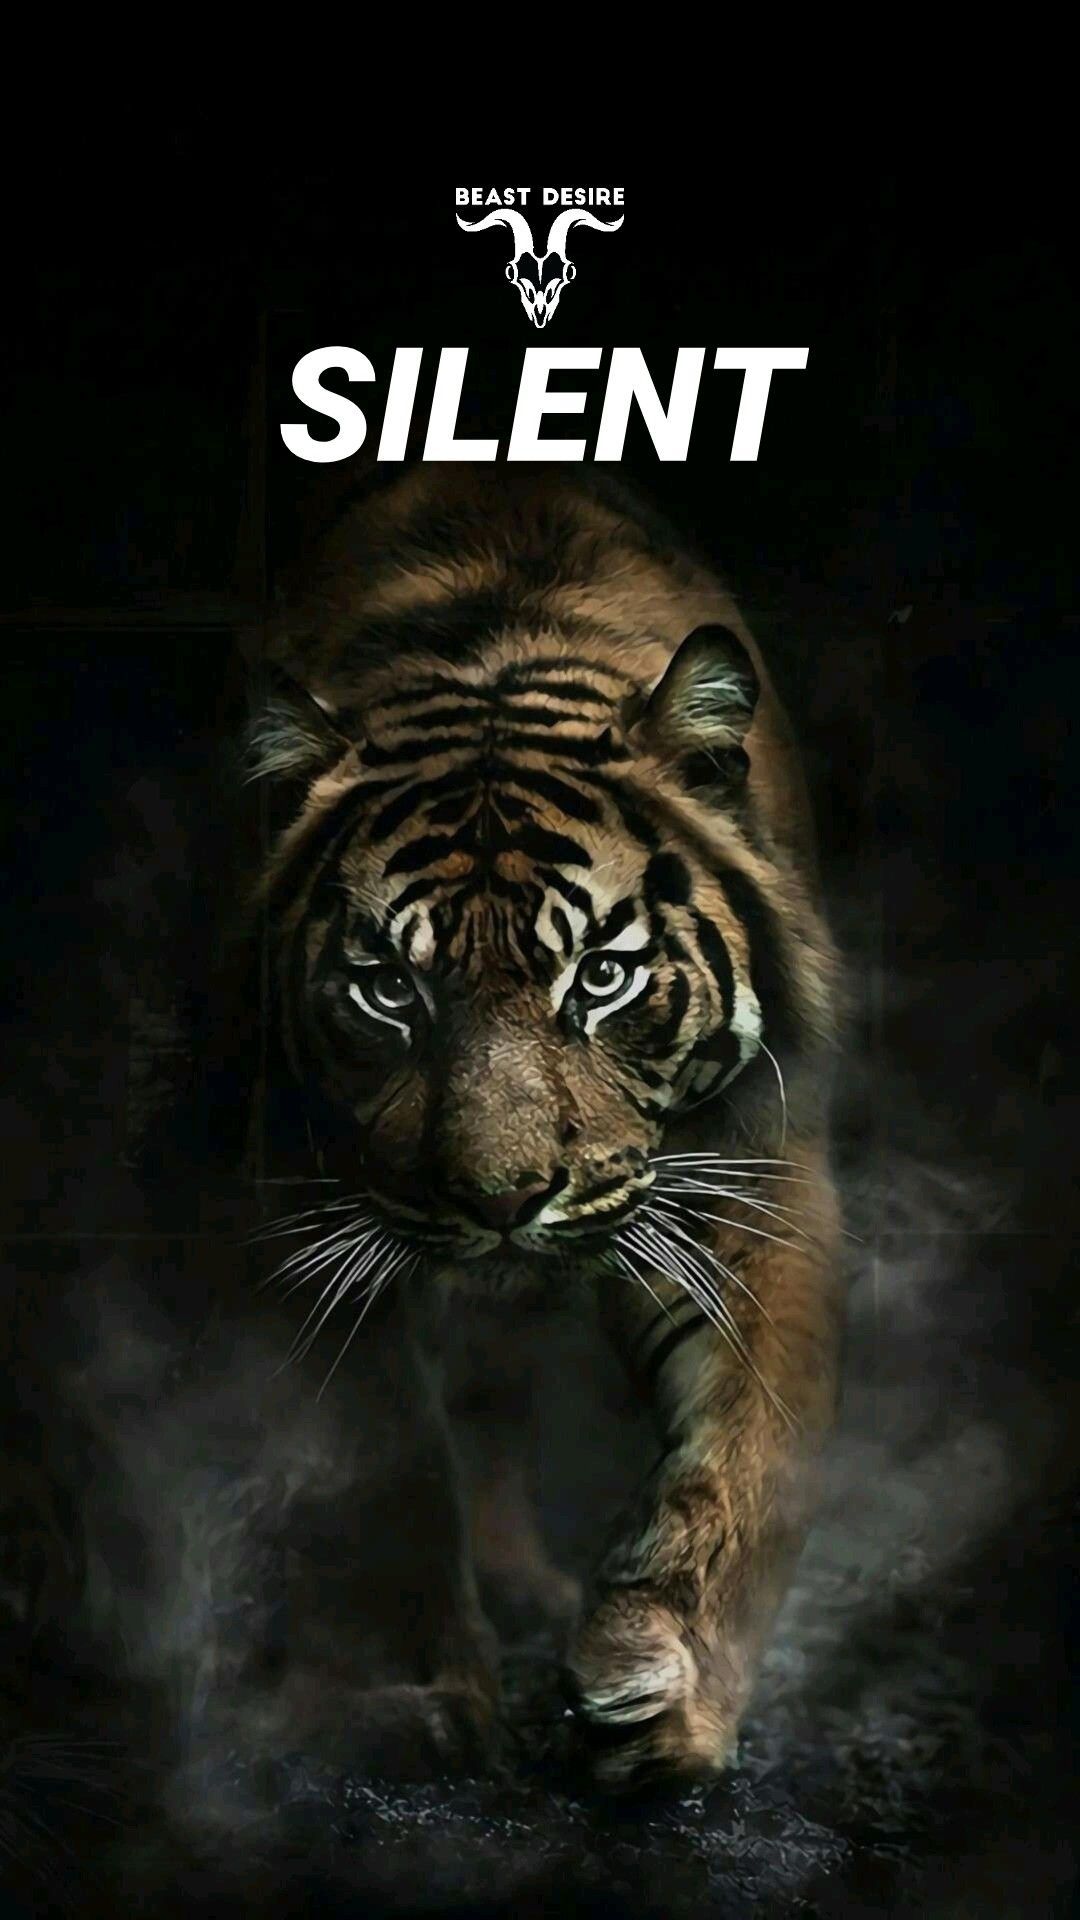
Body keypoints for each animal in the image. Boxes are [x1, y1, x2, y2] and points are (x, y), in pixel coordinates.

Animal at [244, 465, 844, 1792]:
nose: (504, 1198)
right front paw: (418, 1696)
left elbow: (747, 1451)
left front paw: (662, 1690)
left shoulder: (747, 1173)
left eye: (603, 978)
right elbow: (387, 1460)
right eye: (388, 990)